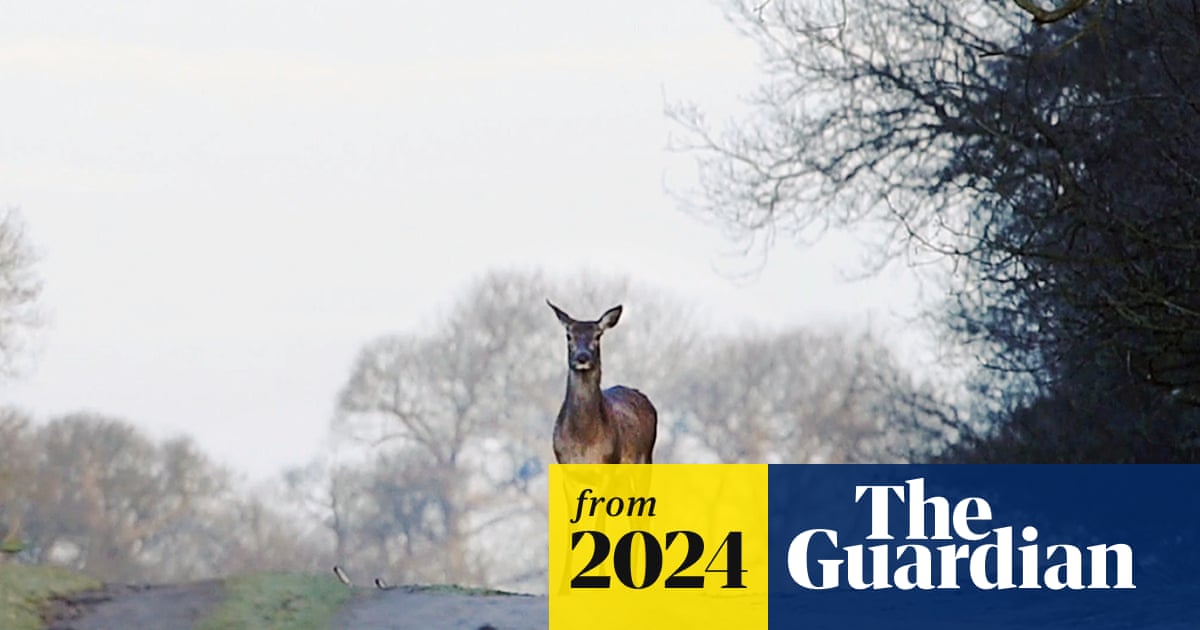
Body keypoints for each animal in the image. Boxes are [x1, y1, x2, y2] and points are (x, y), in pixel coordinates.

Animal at [547, 300, 658, 464]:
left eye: (598, 335)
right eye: (569, 336)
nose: (582, 357)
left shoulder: (609, 460)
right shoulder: (562, 460)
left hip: (646, 456)